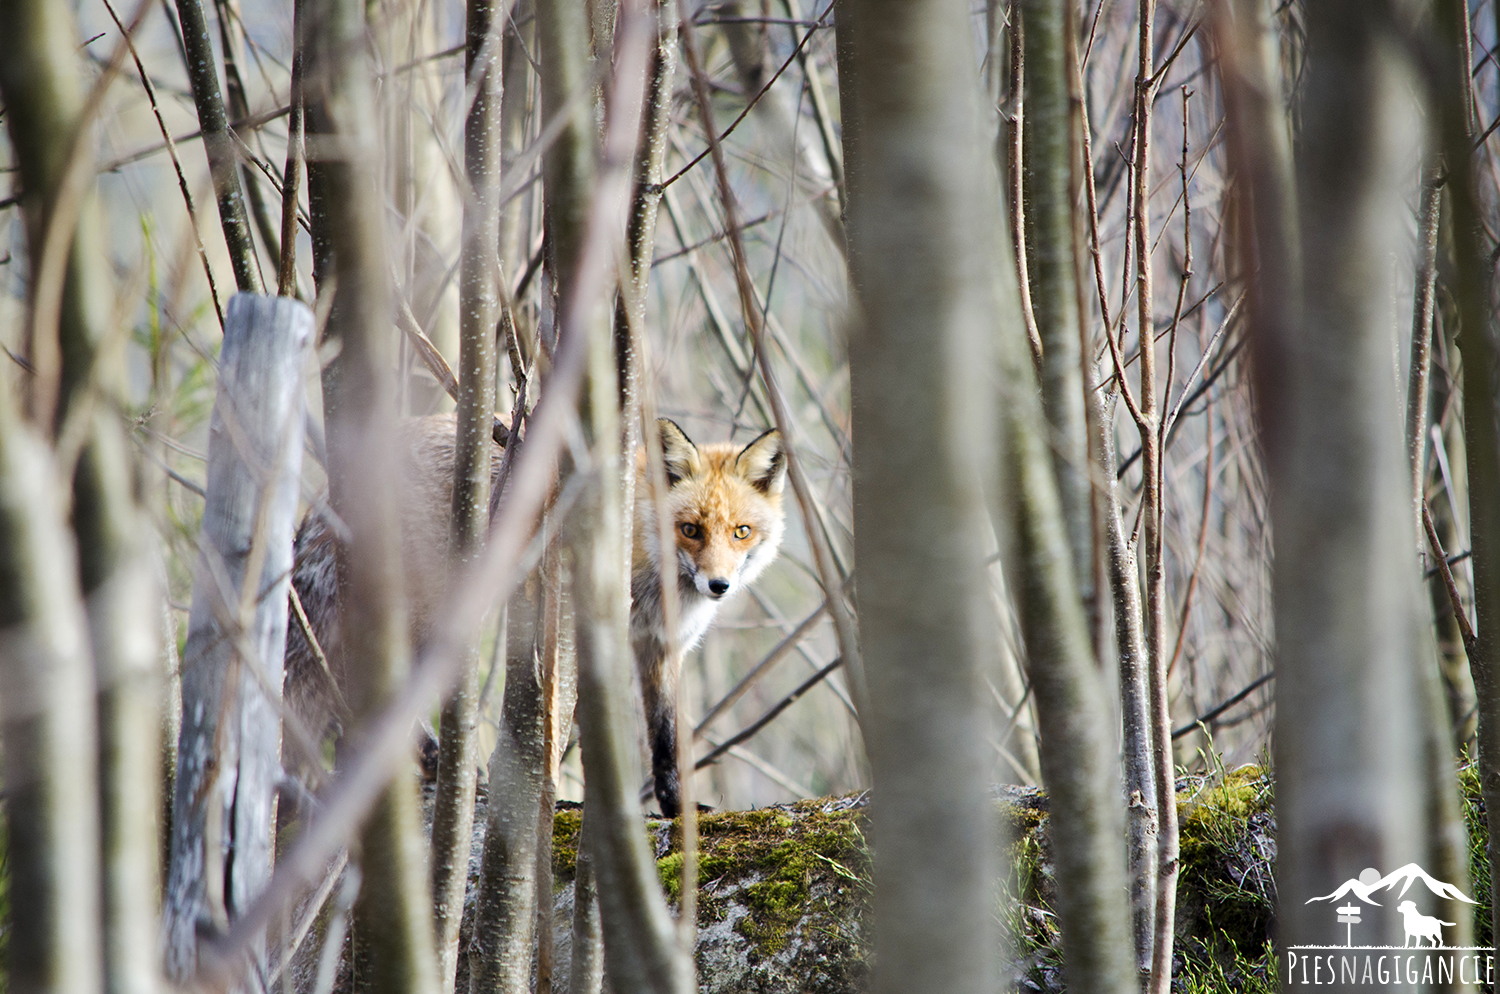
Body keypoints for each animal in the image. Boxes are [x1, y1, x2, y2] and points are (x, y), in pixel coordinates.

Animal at [285, 410, 792, 815]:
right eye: (689, 530)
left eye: (741, 532)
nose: (719, 586)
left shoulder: (659, 646)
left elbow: (665, 740)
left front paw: (675, 808)